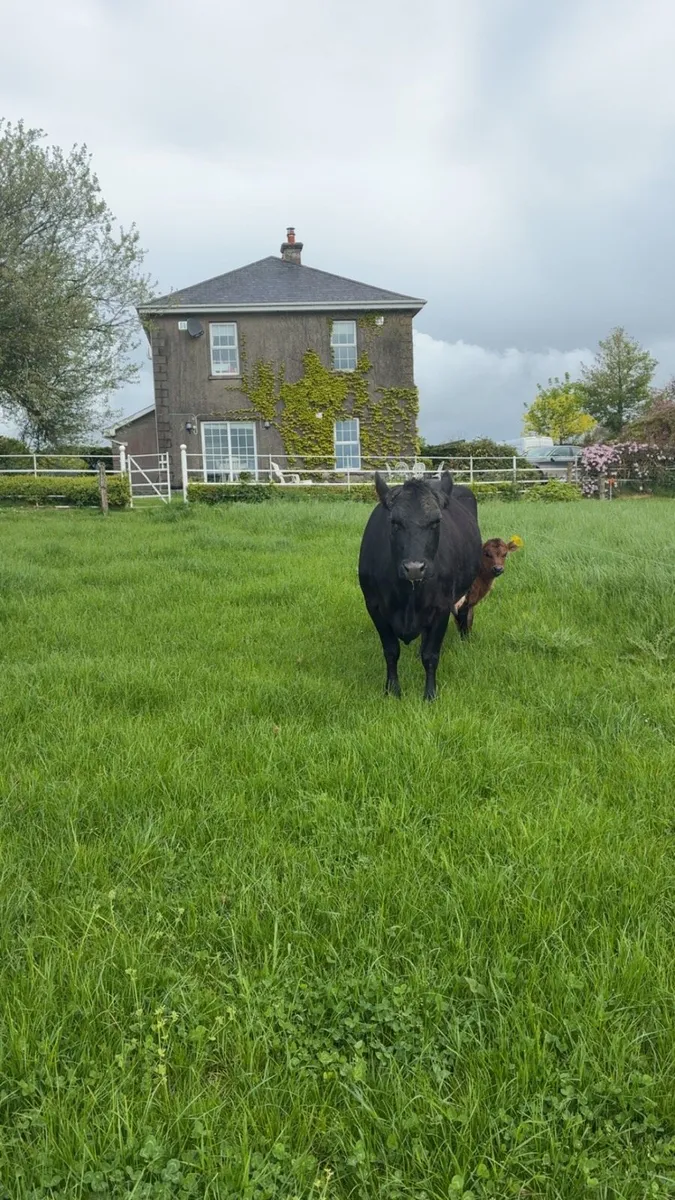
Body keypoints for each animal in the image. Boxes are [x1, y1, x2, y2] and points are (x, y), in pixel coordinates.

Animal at [358, 471, 482, 701]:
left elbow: (431, 655)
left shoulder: (441, 607)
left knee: (463, 611)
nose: (415, 568)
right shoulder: (374, 606)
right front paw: (392, 691)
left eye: (436, 521)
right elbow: (391, 651)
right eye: (395, 522)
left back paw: (465, 642)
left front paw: (430, 695)